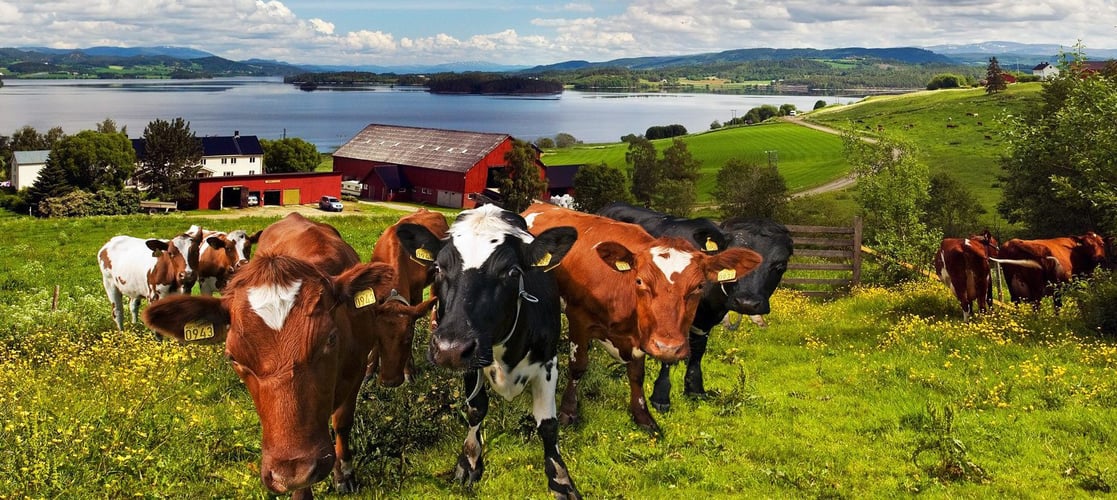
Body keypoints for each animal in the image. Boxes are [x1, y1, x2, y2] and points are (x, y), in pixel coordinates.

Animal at [143, 212, 421, 497]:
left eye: (330, 339)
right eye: (233, 357)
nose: (292, 473)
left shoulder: (355, 373)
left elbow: (342, 423)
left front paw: (344, 474)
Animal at [364, 208, 448, 383]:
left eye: (408, 338)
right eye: (377, 338)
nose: (390, 382)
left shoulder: (415, 296)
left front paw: (409, 370)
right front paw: (369, 369)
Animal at [395, 204, 582, 499]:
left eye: (514, 272)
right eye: (438, 268)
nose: (449, 348)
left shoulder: (548, 359)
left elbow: (548, 424)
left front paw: (560, 478)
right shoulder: (470, 361)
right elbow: (476, 408)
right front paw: (470, 460)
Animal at [521, 202, 763, 433]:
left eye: (699, 286)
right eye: (639, 281)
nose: (668, 348)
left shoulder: (641, 337)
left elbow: (637, 375)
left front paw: (643, 416)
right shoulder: (578, 319)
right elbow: (578, 365)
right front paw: (568, 412)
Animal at [597, 203, 794, 411]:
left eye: (780, 265)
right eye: (731, 260)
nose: (746, 302)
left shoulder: (706, 322)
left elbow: (698, 351)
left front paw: (695, 389)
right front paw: (661, 397)